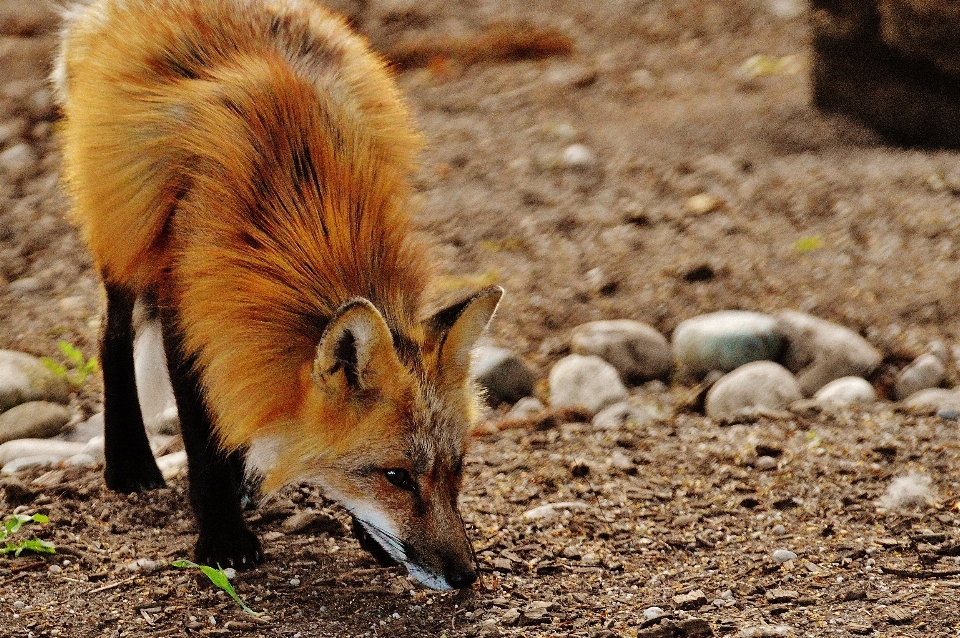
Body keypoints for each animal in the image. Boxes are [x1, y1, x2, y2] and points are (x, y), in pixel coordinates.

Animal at [52, 0, 502, 592]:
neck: (307, 209)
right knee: (110, 336)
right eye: (396, 476)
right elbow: (204, 435)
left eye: (457, 468)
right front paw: (223, 536)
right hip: (123, 230)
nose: (466, 575)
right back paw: (129, 463)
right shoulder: (191, 304)